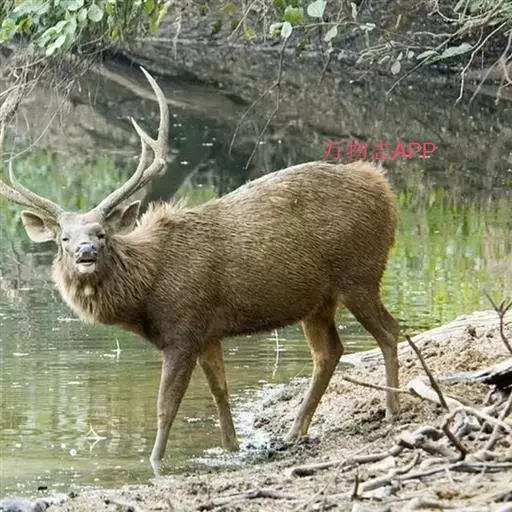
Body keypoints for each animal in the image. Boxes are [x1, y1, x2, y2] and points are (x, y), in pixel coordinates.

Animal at [0, 68, 400, 470]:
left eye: (102, 232)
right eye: (64, 238)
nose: (86, 252)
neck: (145, 295)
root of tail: (384, 188)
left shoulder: (184, 330)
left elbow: (166, 407)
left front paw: (155, 463)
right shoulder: (209, 333)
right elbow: (220, 391)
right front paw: (232, 448)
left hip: (360, 273)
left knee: (389, 332)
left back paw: (392, 408)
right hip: (318, 300)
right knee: (330, 352)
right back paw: (294, 432)